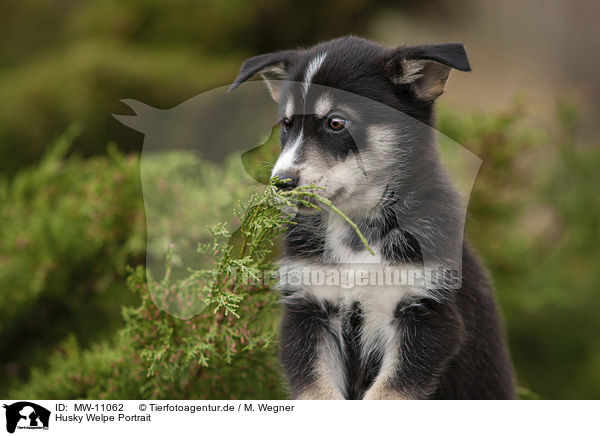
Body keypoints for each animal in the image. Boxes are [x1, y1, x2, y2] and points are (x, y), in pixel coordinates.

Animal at [230, 36, 516, 398]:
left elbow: (388, 392)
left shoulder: (427, 315)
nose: (281, 183)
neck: (358, 230)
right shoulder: (309, 310)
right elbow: (317, 391)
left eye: (336, 122)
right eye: (287, 124)